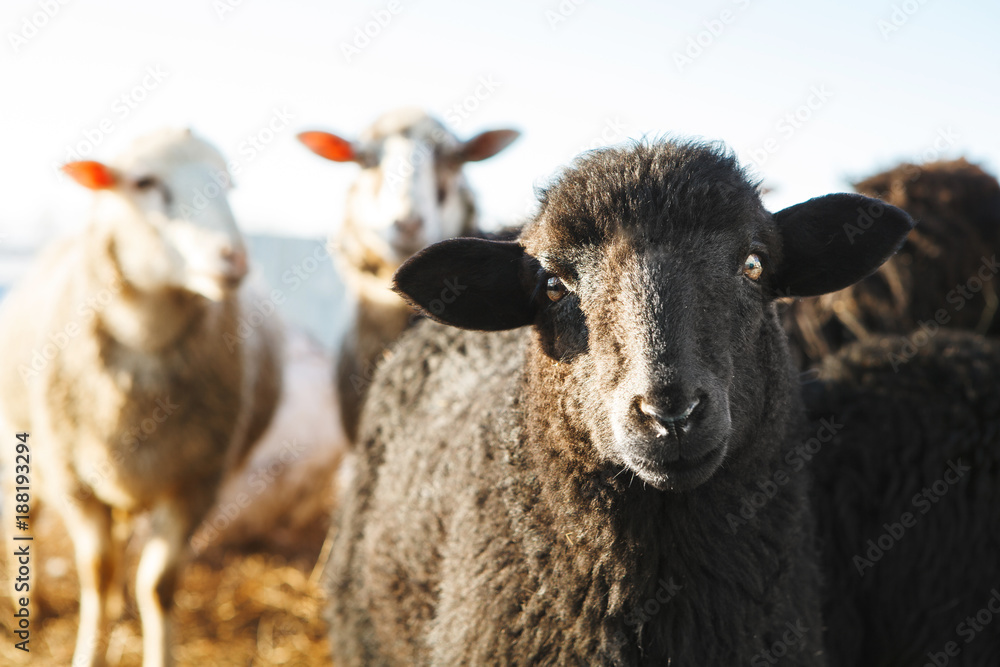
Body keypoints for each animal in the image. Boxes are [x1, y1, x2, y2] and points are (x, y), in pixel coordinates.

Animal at [0, 128, 282, 667]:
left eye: (227, 184)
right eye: (144, 182)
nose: (234, 258)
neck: (146, 341)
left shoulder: (197, 482)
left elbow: (158, 586)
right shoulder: (74, 481)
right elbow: (97, 572)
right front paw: (89, 650)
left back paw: (118, 608)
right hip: (26, 444)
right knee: (24, 515)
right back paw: (34, 604)